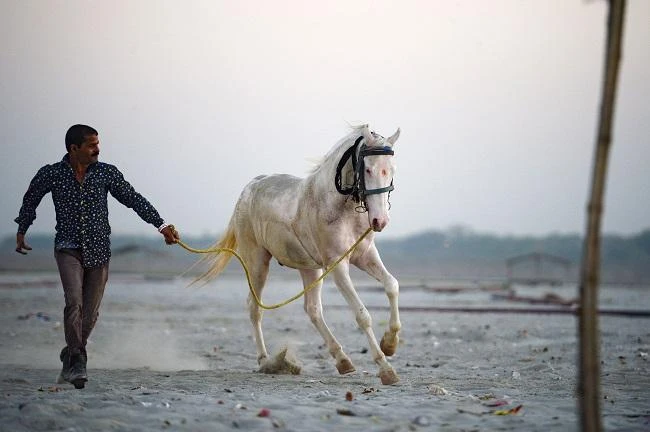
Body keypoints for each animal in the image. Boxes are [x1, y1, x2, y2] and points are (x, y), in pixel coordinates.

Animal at [197, 124, 402, 385]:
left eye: (391, 170)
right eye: (367, 169)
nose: (380, 221)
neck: (336, 206)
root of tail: (248, 189)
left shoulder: (365, 256)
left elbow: (392, 285)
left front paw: (390, 344)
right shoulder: (338, 265)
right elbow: (362, 315)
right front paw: (386, 369)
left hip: (310, 268)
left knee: (312, 310)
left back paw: (343, 361)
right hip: (257, 263)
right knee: (254, 308)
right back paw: (265, 361)